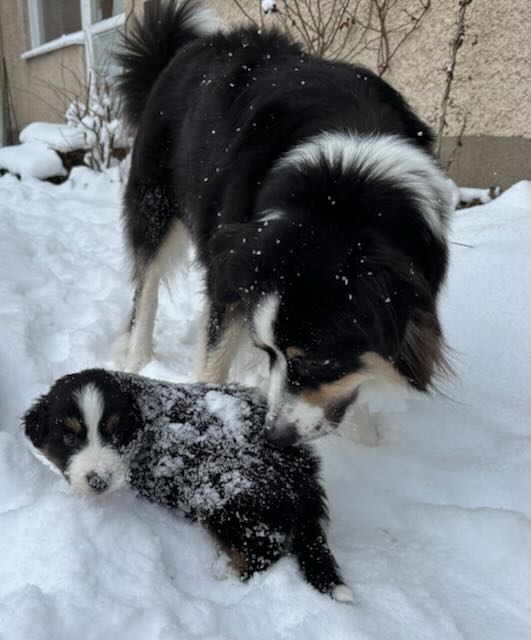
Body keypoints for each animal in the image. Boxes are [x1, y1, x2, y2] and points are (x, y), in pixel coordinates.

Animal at [23, 368, 354, 604]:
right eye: (69, 438)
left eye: (116, 435)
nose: (98, 480)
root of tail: (302, 471)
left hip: (230, 495)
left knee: (263, 546)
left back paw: (224, 572)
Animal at [116, 0, 454, 448]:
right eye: (268, 352)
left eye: (320, 362)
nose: (276, 436)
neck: (341, 189)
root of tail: (184, 49)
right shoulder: (231, 270)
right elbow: (214, 354)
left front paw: (365, 437)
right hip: (154, 198)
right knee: (147, 287)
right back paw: (137, 361)